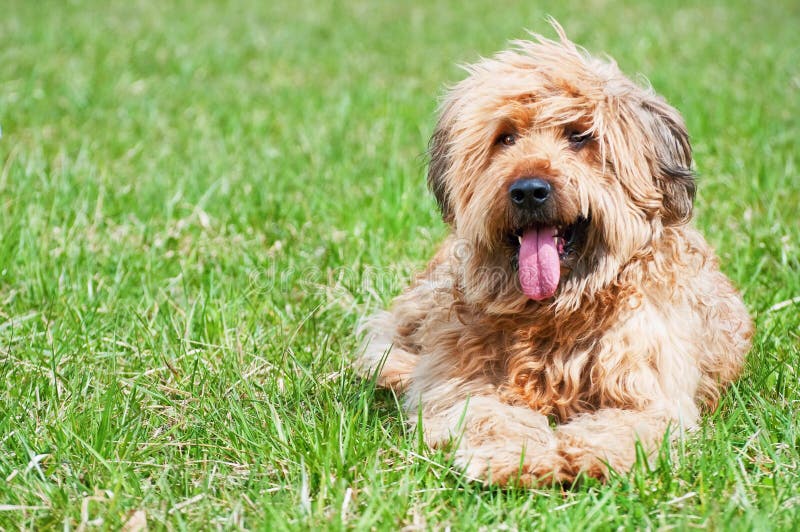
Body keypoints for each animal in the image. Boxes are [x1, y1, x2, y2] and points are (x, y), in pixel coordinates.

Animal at [354, 21, 752, 486]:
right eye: (505, 137)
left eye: (579, 136)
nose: (529, 190)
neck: (555, 313)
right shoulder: (464, 384)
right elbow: (486, 413)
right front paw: (519, 456)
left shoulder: (650, 391)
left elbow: (630, 422)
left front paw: (585, 454)